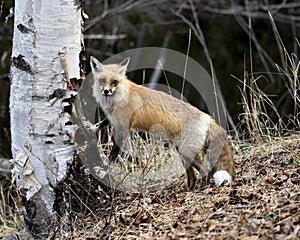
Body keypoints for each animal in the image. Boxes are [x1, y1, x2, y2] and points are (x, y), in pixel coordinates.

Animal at [90, 56, 233, 189]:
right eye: (102, 81)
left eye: (114, 82)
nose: (106, 91)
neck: (119, 97)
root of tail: (207, 117)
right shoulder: (116, 121)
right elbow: (104, 124)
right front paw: (92, 127)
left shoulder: (123, 128)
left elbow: (113, 155)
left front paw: (104, 171)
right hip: (181, 151)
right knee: (192, 176)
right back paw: (188, 190)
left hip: (186, 151)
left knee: (205, 171)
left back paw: (201, 189)